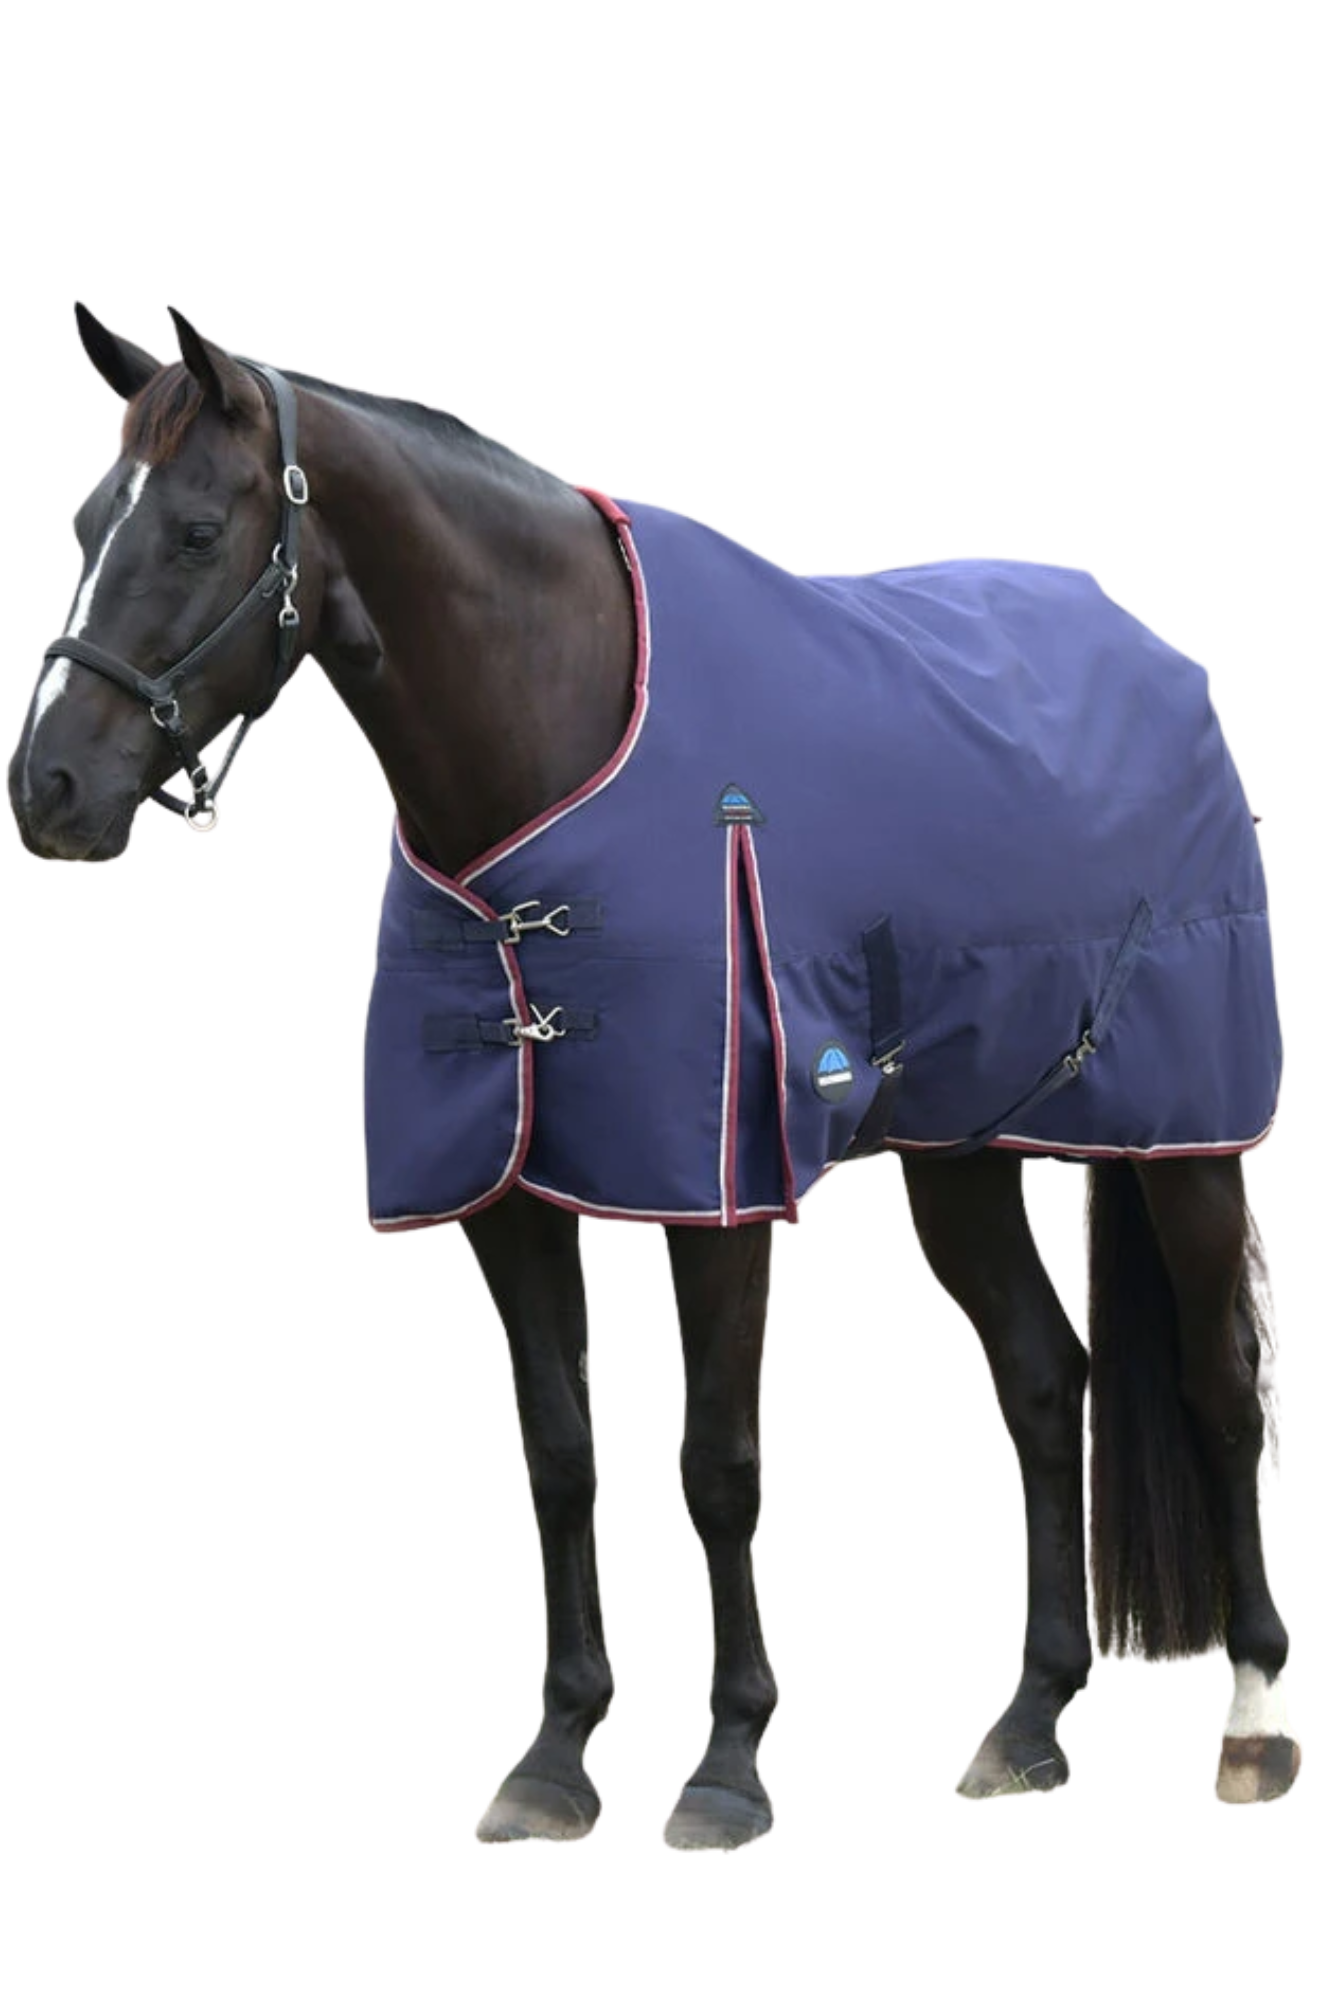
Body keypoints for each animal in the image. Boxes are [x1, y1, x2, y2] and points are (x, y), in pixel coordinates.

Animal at [7, 304, 1298, 1847]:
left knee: (1224, 1374)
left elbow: (717, 1461)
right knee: (1045, 1386)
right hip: (963, 1152)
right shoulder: (503, 1193)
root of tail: (1150, 651)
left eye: (199, 529)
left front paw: (728, 1765)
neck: (552, 748)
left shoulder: (719, 1191)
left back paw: (1258, 1716)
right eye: (87, 523)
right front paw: (554, 1759)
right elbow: (564, 1455)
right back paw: (1026, 1721)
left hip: (1188, 1140)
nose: (46, 790)